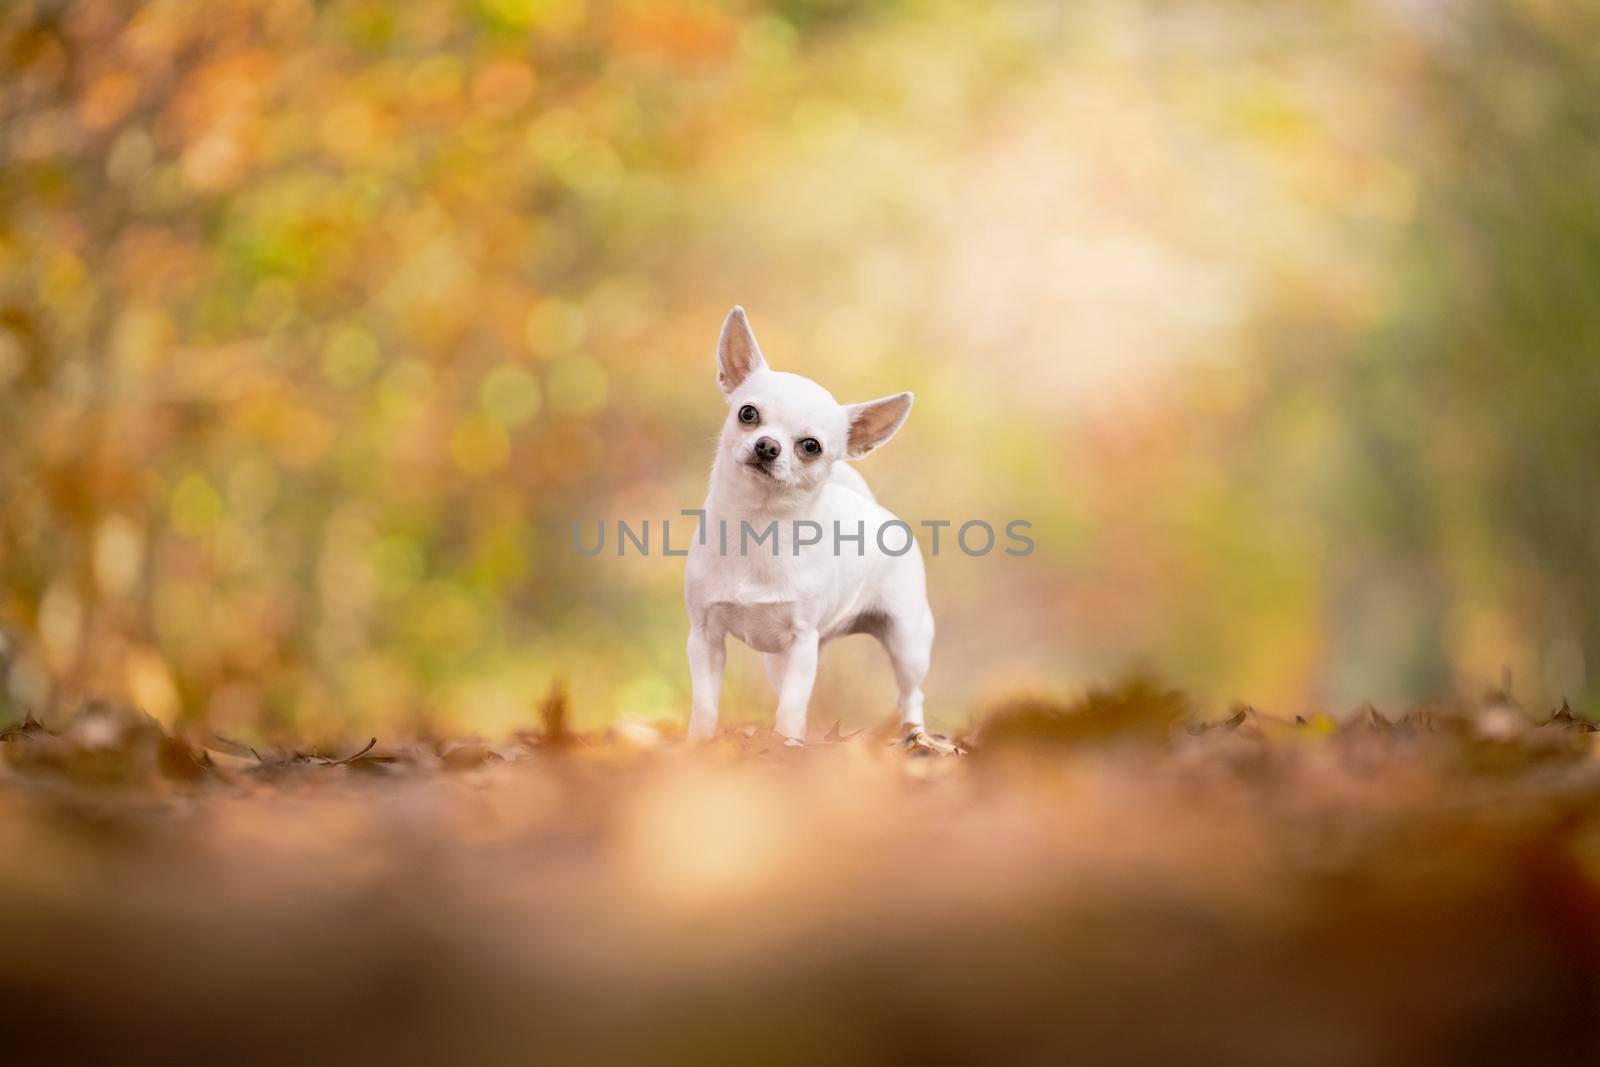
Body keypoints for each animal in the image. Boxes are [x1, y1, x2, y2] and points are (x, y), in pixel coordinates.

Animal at [681, 308, 934, 742]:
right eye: (747, 413)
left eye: (810, 446)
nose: (767, 445)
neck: (759, 525)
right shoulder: (705, 638)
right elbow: (706, 704)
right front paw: (700, 744)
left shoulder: (801, 643)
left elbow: (790, 708)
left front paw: (788, 746)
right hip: (782, 659)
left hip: (907, 642)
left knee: (910, 694)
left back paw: (916, 735)